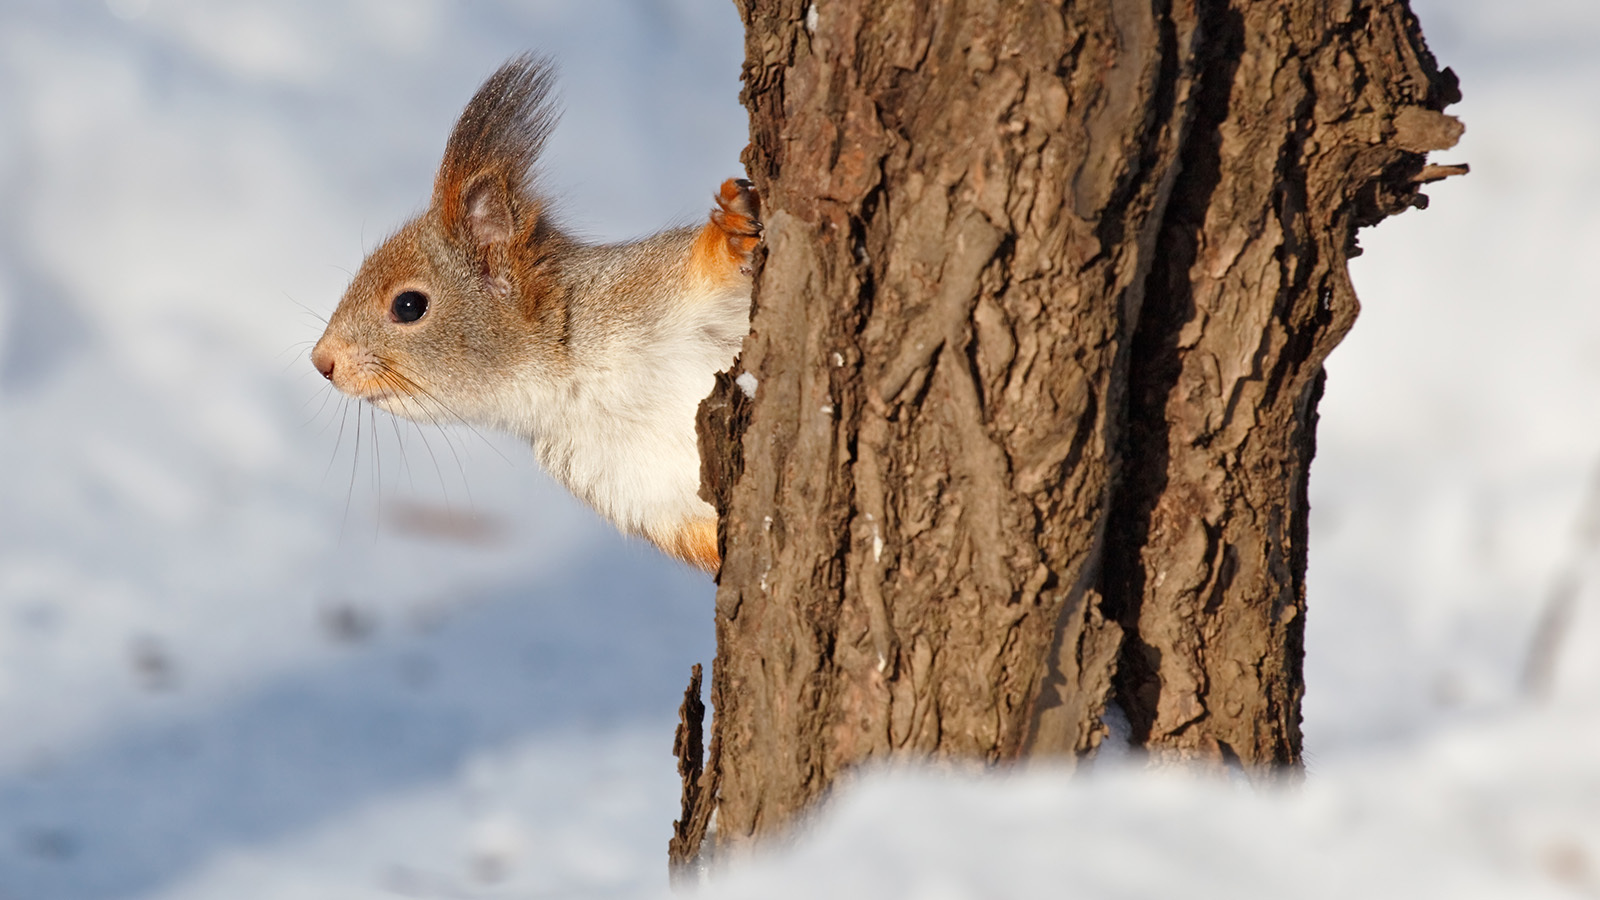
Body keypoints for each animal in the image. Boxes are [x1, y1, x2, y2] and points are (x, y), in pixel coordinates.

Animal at [316, 56, 761, 570]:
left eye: (409, 306)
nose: (322, 362)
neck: (572, 387)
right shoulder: (642, 498)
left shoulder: (651, 285)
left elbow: (713, 269)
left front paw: (733, 231)